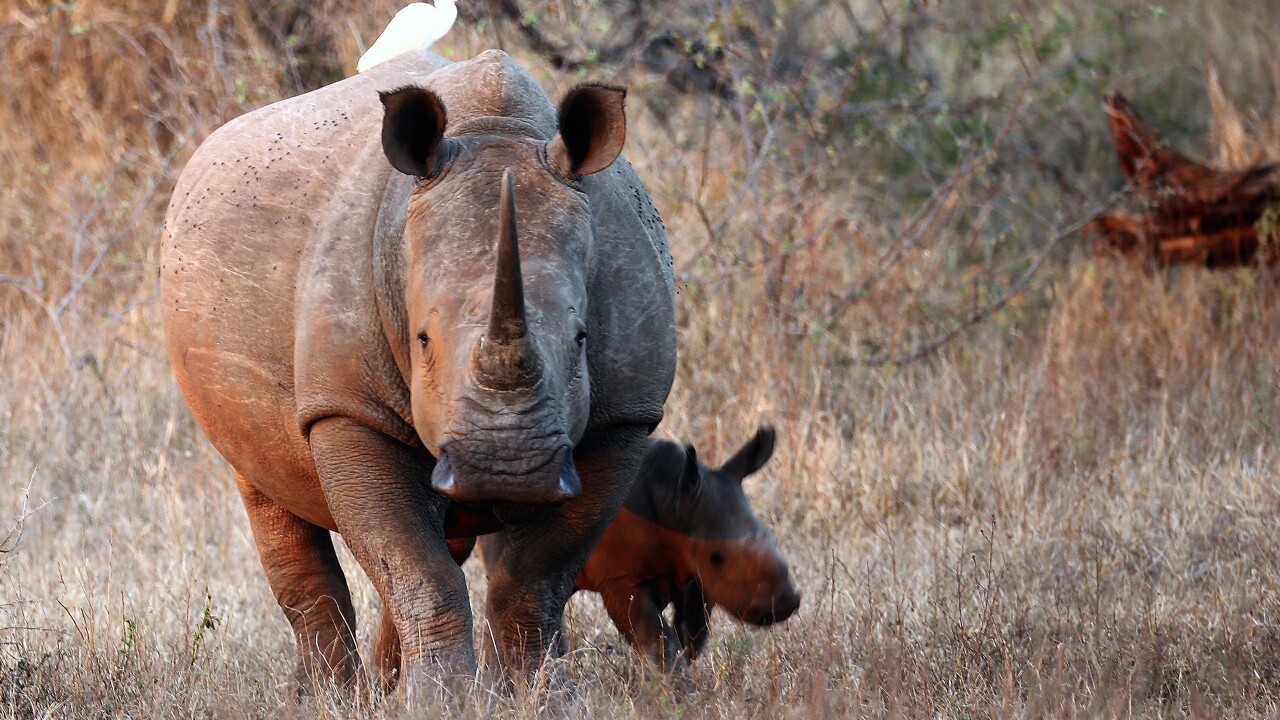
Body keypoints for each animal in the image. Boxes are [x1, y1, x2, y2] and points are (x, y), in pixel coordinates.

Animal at [159, 49, 676, 690]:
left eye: (582, 340)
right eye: (422, 339)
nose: (506, 467)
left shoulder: (623, 417)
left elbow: (532, 582)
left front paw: (535, 695)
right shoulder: (348, 409)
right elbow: (419, 570)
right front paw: (441, 699)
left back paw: (382, 688)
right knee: (270, 498)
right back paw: (334, 697)